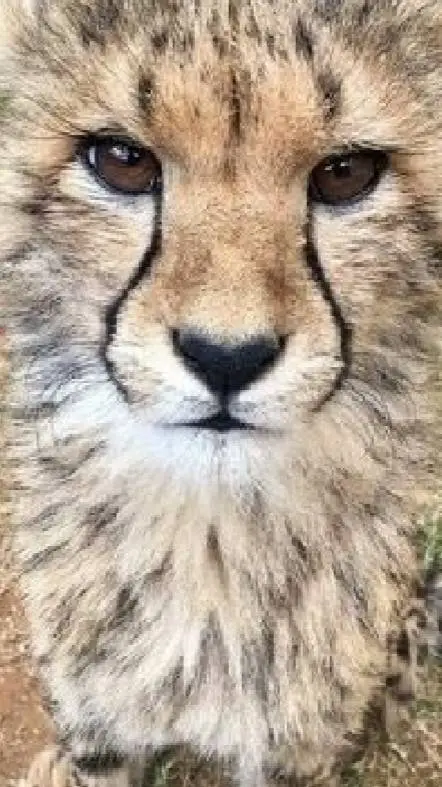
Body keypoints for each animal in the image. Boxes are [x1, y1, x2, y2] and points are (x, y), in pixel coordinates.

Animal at [0, 1, 441, 786]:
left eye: (346, 173)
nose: (226, 356)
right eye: (122, 160)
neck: (208, 541)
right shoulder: (100, 733)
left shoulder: (295, 752)